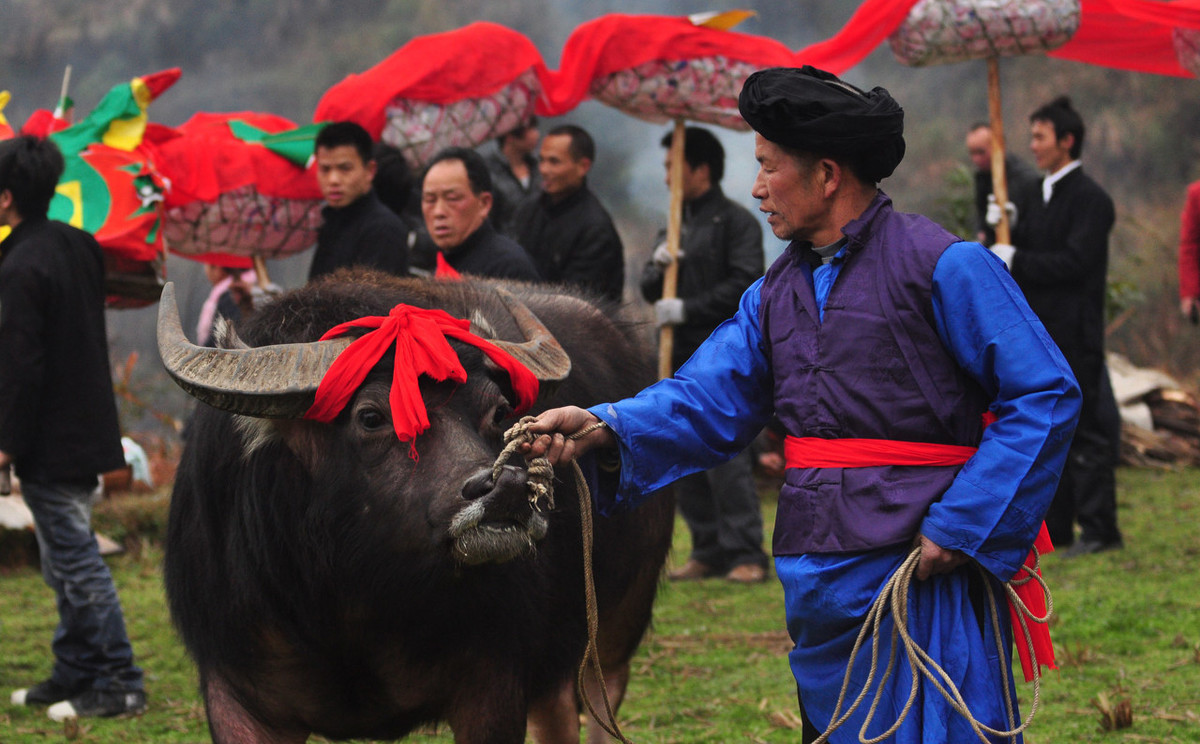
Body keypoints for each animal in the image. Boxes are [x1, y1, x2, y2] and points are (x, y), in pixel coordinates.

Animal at [157, 268, 676, 744]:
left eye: (499, 411)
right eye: (371, 417)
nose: (507, 489)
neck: (347, 598)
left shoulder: (494, 684)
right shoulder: (237, 696)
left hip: (615, 626)